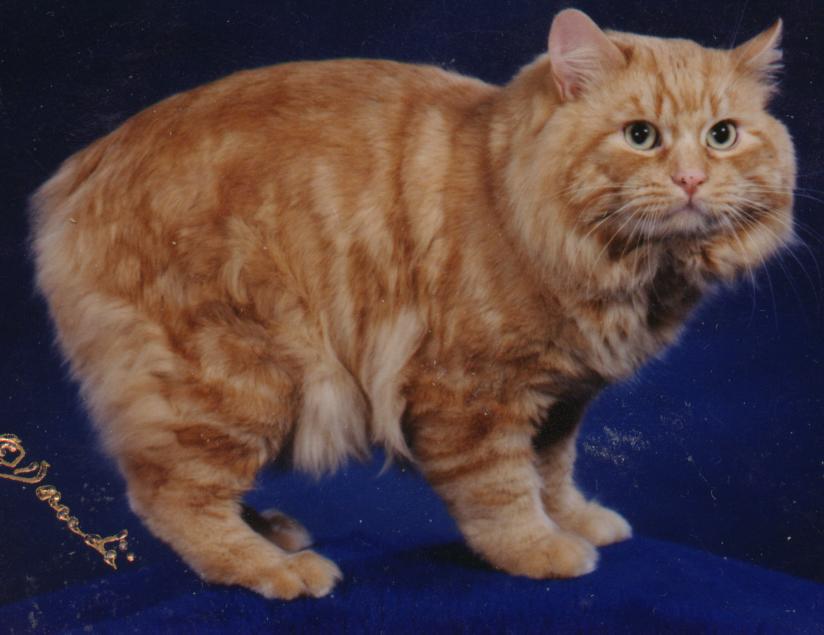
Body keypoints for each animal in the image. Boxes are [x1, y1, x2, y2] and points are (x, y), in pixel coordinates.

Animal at [30, 7, 792, 600]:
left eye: (722, 134)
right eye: (641, 135)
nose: (691, 179)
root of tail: (73, 180)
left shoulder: (559, 401)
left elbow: (552, 476)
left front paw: (574, 520)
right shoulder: (472, 393)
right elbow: (501, 493)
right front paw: (542, 550)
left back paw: (271, 530)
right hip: (235, 377)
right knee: (170, 495)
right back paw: (276, 567)